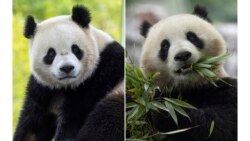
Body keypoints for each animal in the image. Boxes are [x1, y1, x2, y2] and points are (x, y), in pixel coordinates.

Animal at [12, 4, 124, 140]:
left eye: (75, 49)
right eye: (51, 53)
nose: (67, 68)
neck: (66, 86)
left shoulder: (100, 76)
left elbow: (73, 119)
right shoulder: (43, 87)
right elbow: (32, 123)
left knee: (107, 119)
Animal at [140, 4, 237, 140]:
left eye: (192, 37)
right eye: (165, 46)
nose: (182, 55)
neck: (190, 86)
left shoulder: (225, 89)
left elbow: (219, 124)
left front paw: (165, 111)